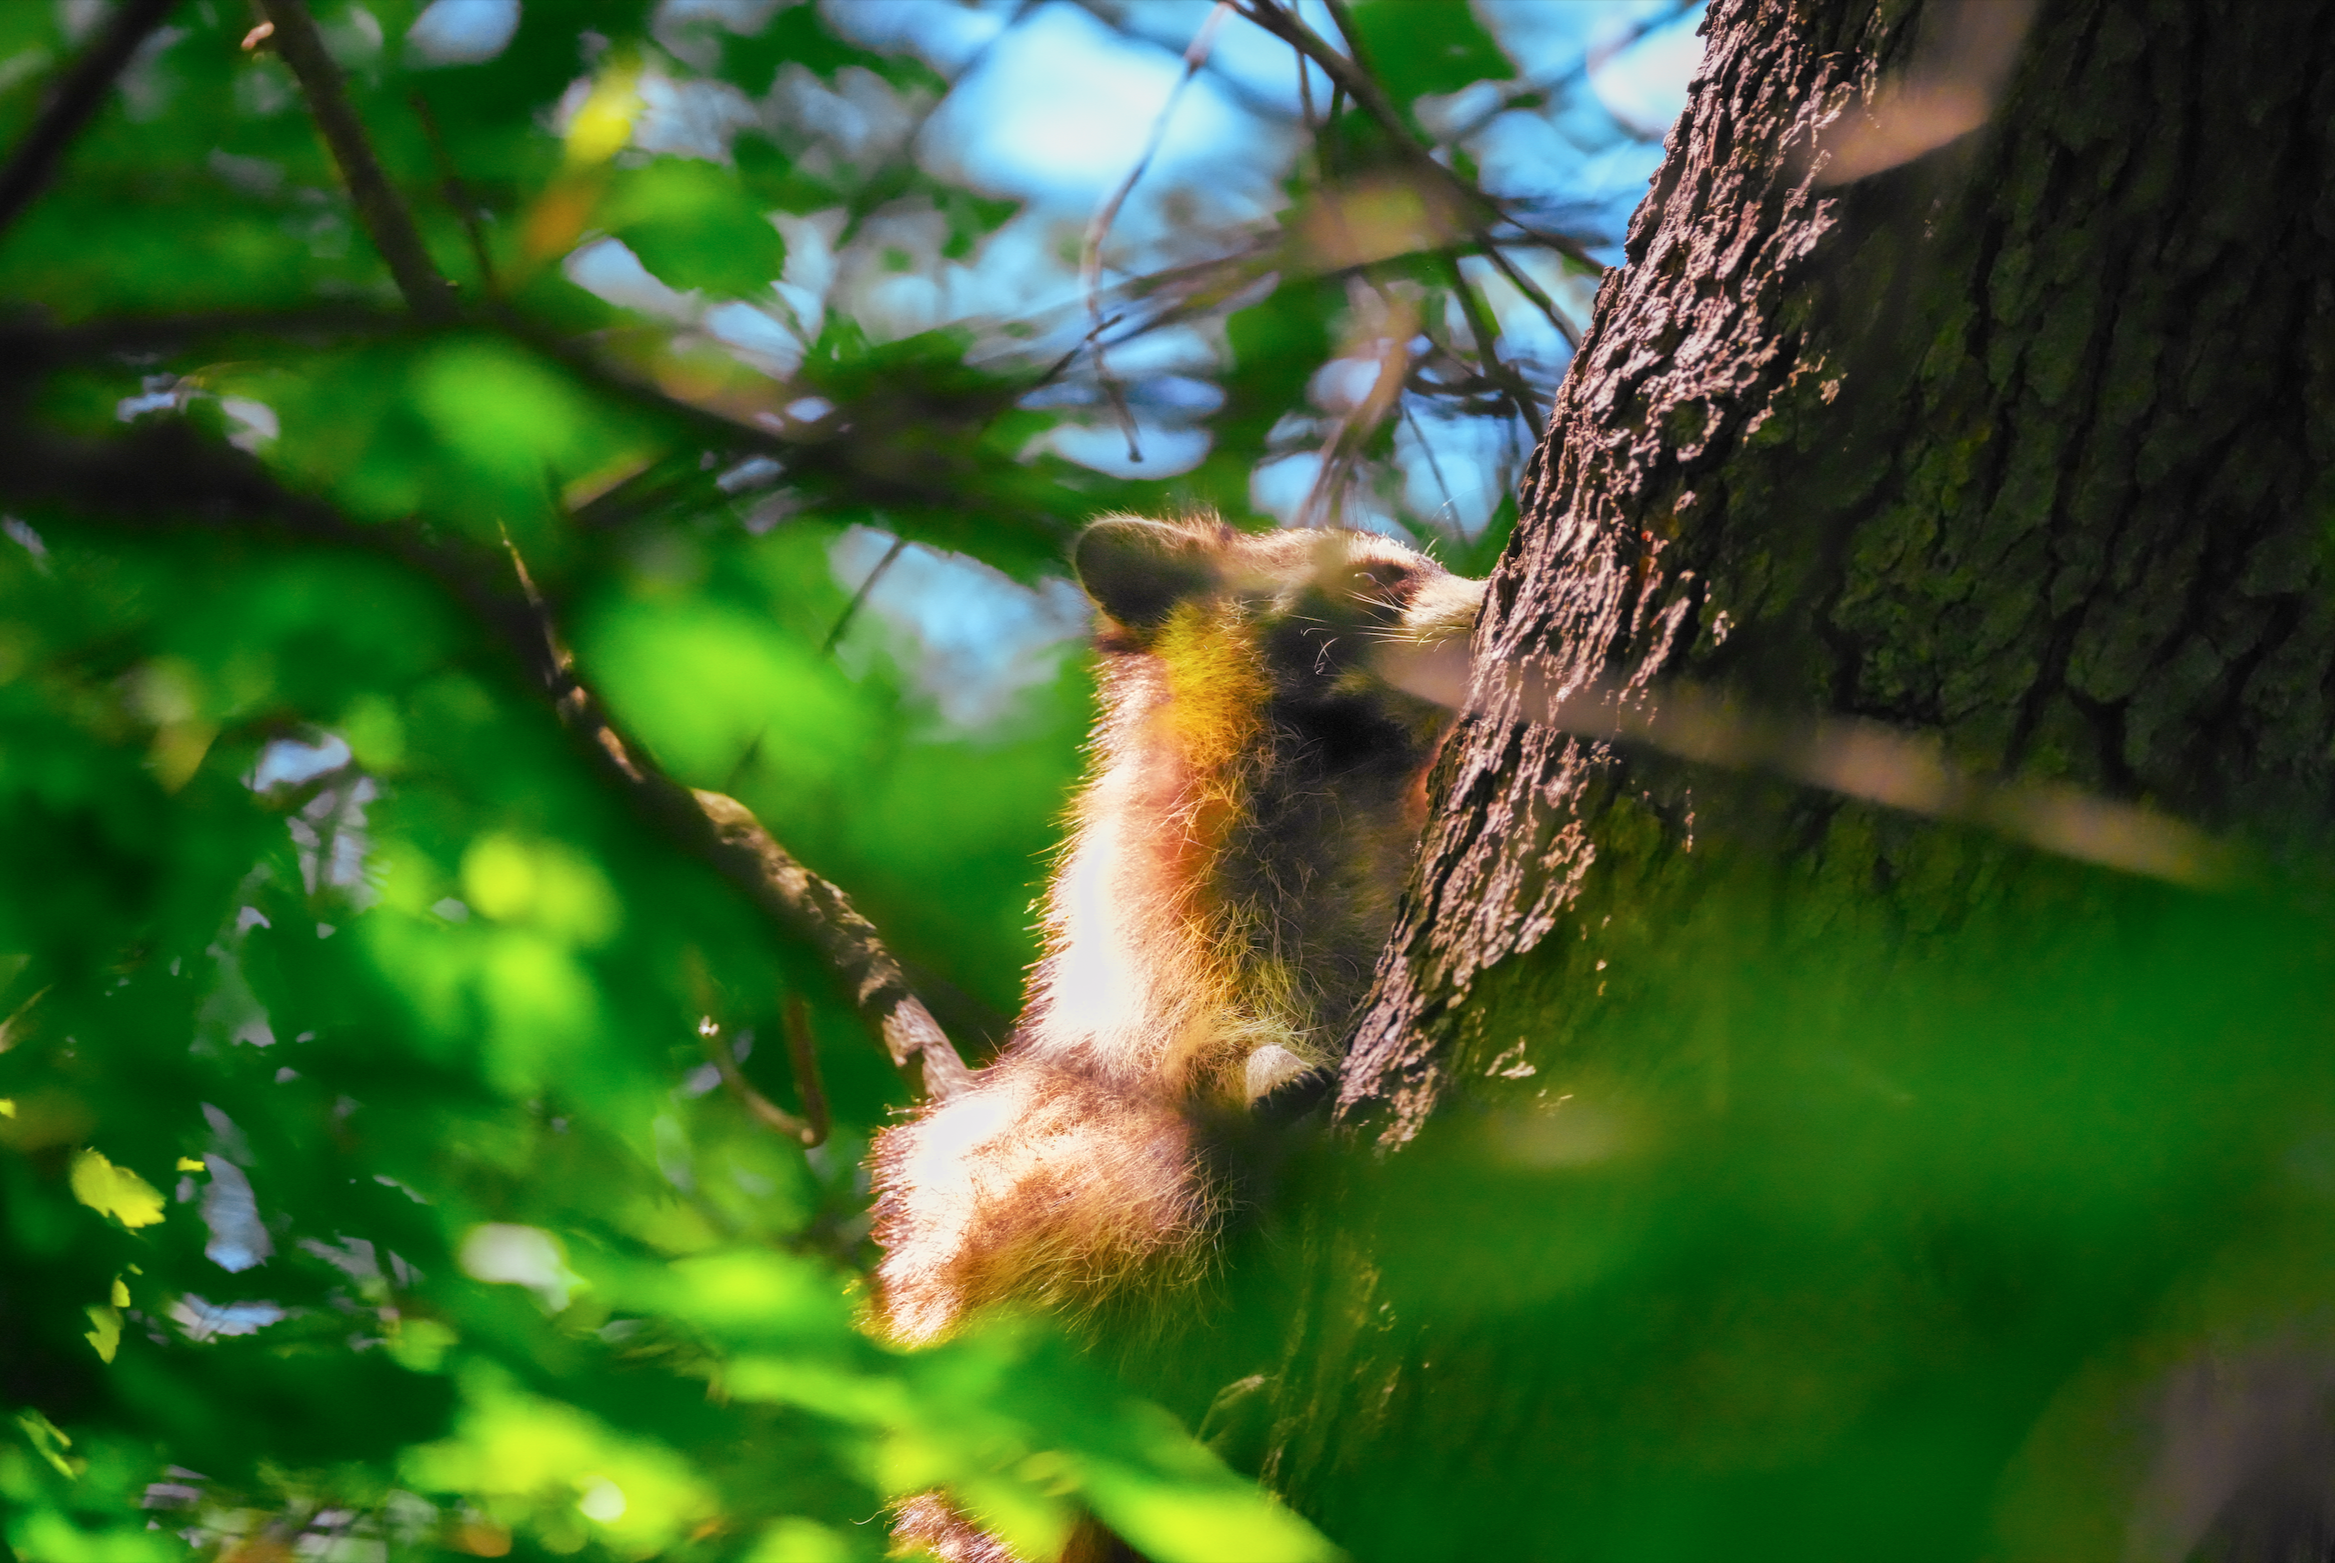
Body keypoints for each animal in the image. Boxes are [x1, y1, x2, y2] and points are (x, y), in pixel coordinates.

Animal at [870, 515, 1485, 1347]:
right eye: (1377, 576)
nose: (1493, 592)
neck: (1351, 758)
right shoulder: (1174, 886)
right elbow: (1187, 1026)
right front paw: (1248, 1060)